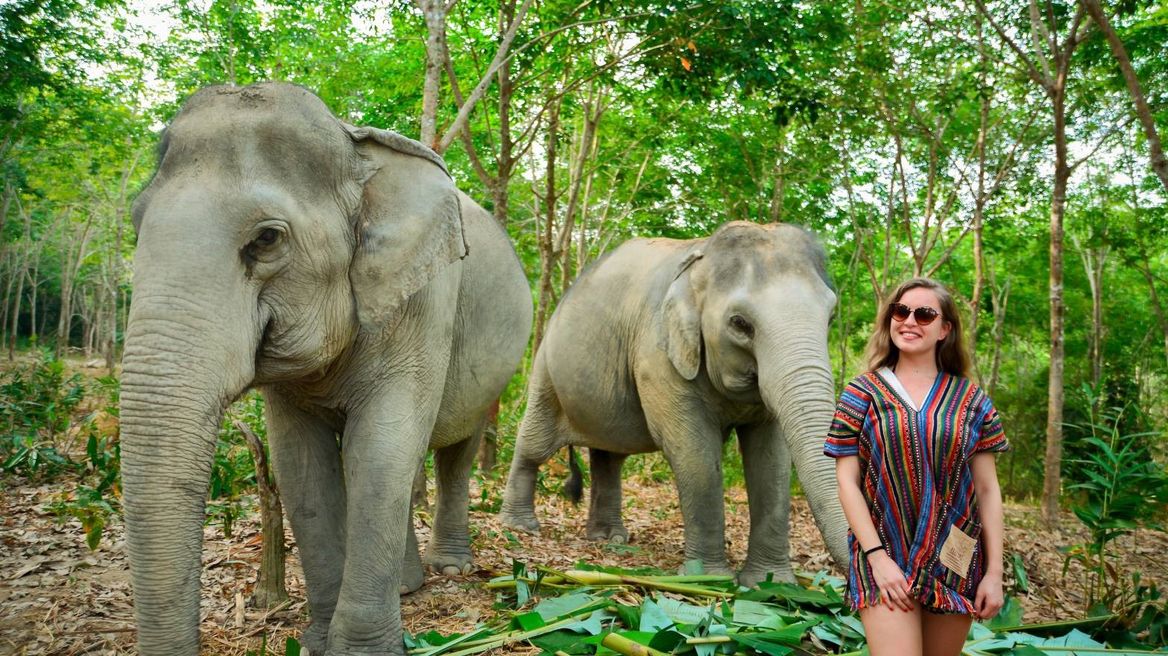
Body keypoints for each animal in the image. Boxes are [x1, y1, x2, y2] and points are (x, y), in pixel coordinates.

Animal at [120, 82, 532, 655]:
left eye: (266, 239)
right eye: (136, 224)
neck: (354, 147)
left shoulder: (426, 300)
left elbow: (379, 446)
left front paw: (360, 650)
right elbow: (302, 462)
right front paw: (317, 640)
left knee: (455, 451)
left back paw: (450, 568)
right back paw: (406, 587)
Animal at [500, 221, 848, 586]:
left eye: (830, 317)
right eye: (740, 324)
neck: (701, 259)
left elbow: (772, 459)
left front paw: (770, 584)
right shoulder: (657, 355)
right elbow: (694, 451)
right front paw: (709, 579)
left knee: (608, 457)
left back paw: (610, 538)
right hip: (546, 367)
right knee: (534, 445)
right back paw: (521, 526)